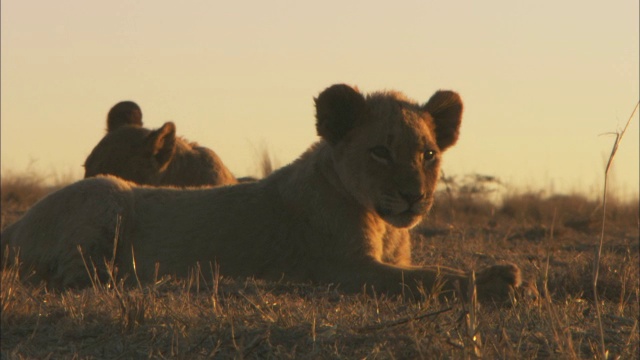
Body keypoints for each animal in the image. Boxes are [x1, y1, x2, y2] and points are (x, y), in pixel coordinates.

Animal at [1, 84, 524, 300]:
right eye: (380, 152)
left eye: (429, 154)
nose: (415, 196)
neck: (382, 220)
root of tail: (13, 225)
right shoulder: (342, 269)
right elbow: (429, 278)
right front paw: (498, 279)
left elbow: (423, 272)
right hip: (104, 196)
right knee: (70, 276)